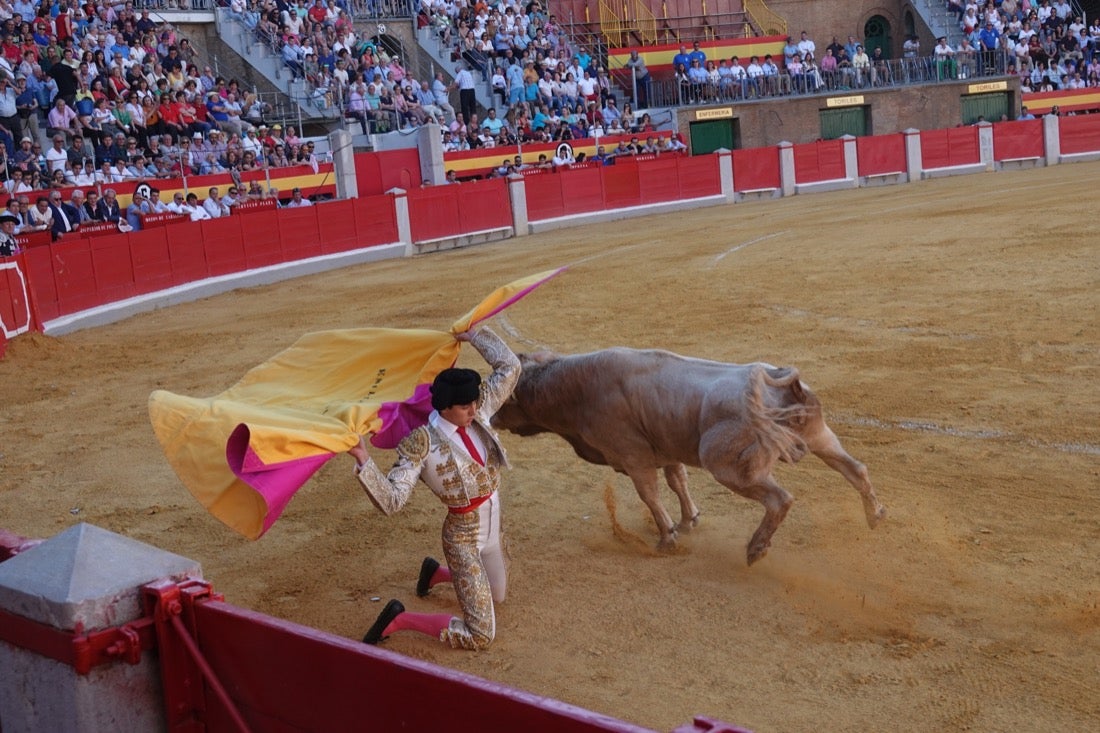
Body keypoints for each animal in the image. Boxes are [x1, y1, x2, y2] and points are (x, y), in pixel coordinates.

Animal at [490, 345, 884, 561]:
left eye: (509, 397)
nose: (490, 417)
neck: (578, 389)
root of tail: (787, 384)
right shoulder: (665, 451)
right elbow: (678, 481)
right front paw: (688, 520)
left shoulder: (633, 457)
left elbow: (650, 494)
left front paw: (667, 537)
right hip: (820, 436)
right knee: (856, 469)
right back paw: (875, 514)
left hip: (725, 463)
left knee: (781, 499)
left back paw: (756, 549)